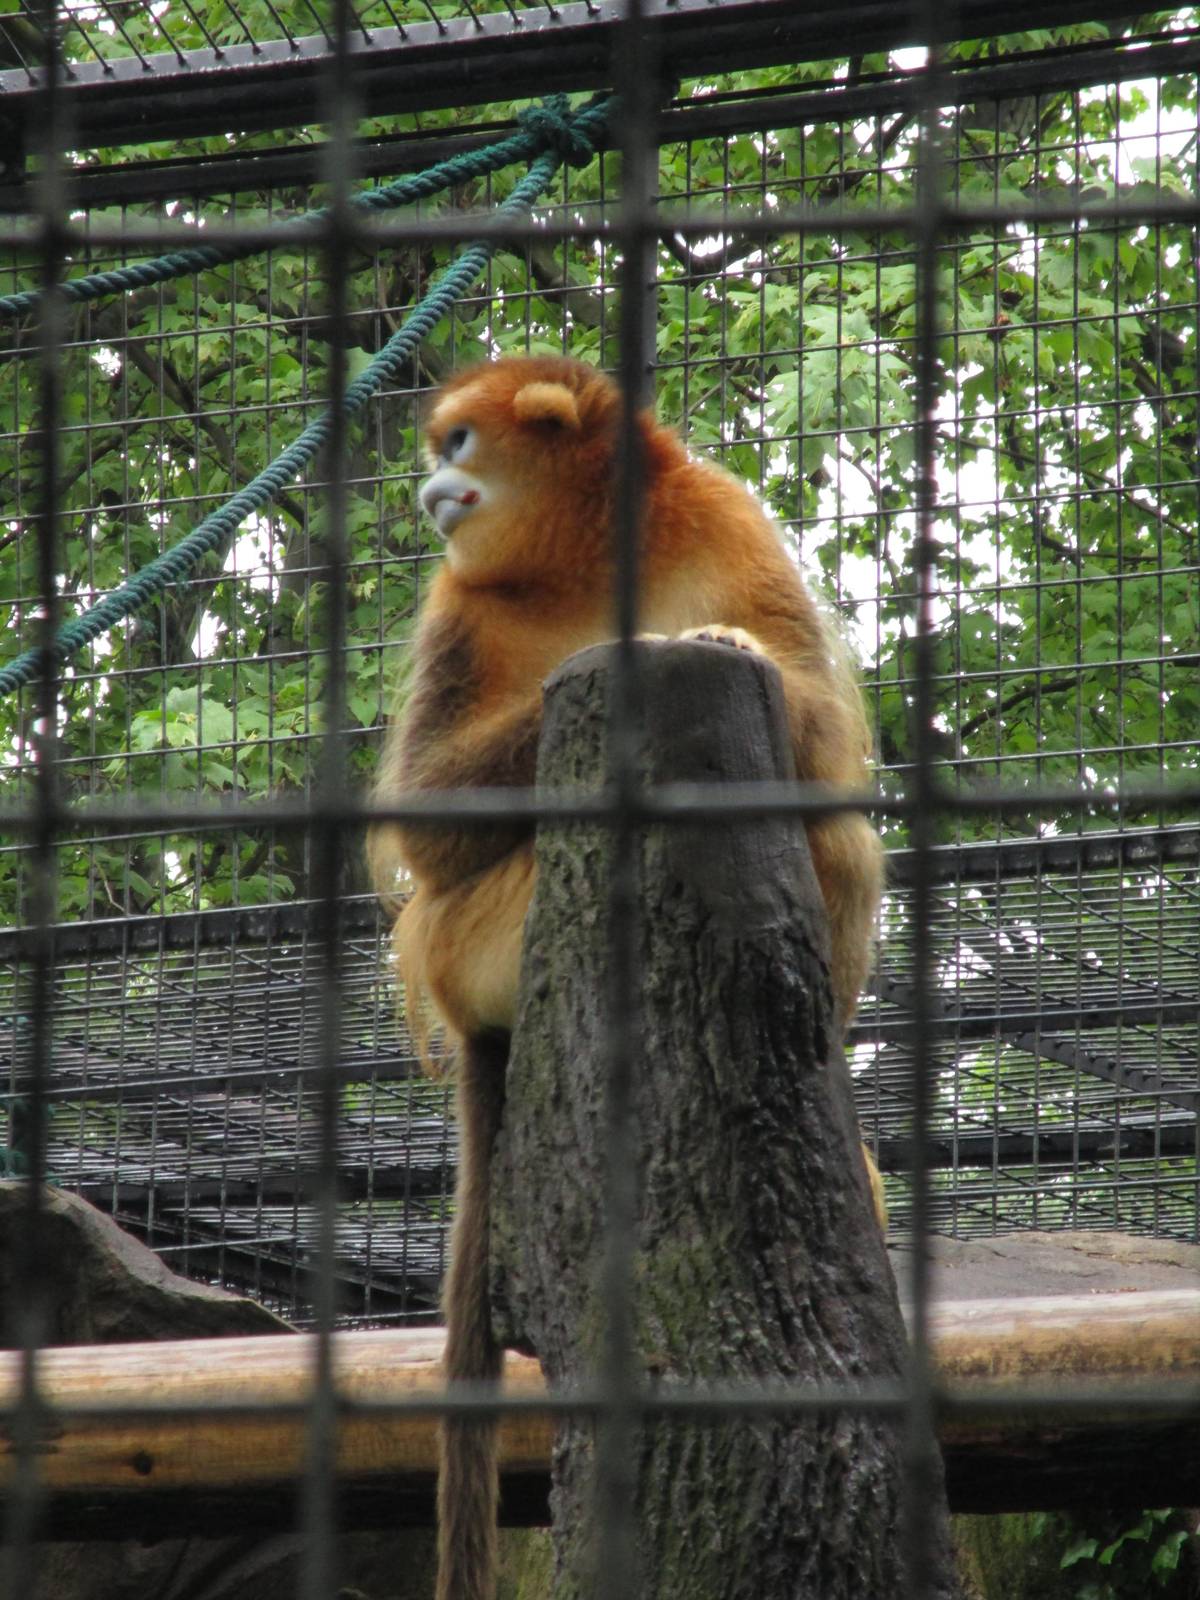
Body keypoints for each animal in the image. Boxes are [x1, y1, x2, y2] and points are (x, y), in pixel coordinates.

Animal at [368, 355, 886, 1600]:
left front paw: (726, 641)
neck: (583, 555)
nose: (428, 486)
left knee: (836, 835)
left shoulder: (724, 516)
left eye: (457, 441)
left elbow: (820, 728)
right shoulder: (457, 602)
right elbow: (428, 819)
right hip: (473, 941)